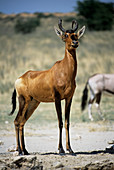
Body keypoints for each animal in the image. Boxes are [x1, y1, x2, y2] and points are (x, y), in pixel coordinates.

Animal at [9, 19, 84, 155]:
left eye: (75, 35)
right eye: (65, 35)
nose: (75, 43)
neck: (63, 71)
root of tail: (20, 78)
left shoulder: (69, 98)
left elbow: (67, 122)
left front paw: (70, 149)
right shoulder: (57, 99)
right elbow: (60, 122)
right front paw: (60, 149)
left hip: (33, 102)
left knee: (22, 122)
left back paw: (25, 150)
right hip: (23, 100)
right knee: (17, 121)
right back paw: (19, 150)